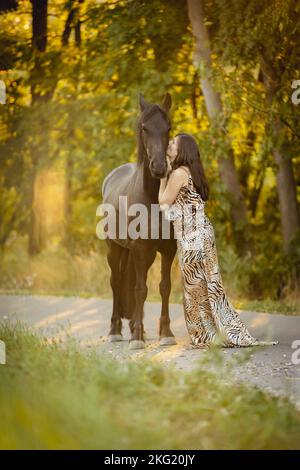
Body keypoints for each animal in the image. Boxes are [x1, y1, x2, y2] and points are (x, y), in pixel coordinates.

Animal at [102, 92, 178, 348]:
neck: (153, 199)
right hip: (114, 249)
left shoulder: (168, 249)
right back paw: (115, 330)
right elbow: (139, 289)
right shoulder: (139, 248)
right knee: (116, 282)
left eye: (168, 127)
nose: (159, 167)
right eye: (144, 127)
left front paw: (166, 334)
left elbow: (164, 287)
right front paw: (136, 339)